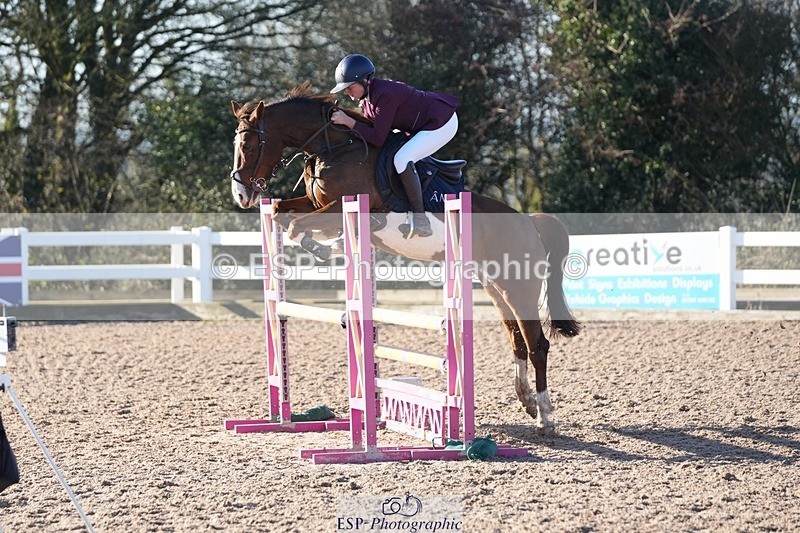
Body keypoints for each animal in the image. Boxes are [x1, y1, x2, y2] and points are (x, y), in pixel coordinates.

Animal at [229, 84, 581, 433]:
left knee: (537, 345)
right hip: (496, 286)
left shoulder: (345, 207)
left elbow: (295, 225)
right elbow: (280, 212)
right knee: (517, 339)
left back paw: (545, 415)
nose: (241, 195)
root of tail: (529, 222)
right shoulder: (315, 204)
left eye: (247, 144)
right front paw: (327, 245)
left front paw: (323, 247)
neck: (333, 148)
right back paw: (528, 402)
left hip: (518, 288)